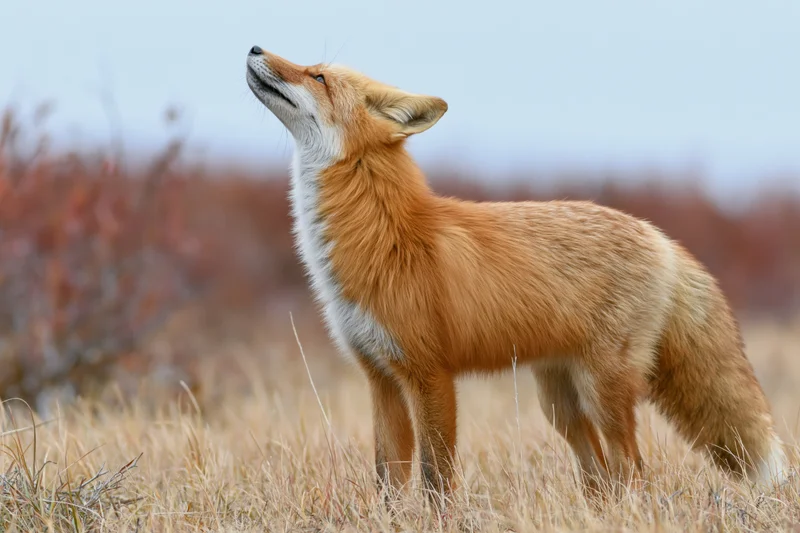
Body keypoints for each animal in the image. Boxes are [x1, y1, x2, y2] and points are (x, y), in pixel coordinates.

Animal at [244, 45, 789, 505]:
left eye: (317, 76)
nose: (254, 48)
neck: (385, 233)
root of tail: (660, 236)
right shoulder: (380, 377)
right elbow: (388, 479)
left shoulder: (429, 375)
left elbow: (437, 477)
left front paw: (442, 520)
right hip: (561, 403)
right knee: (599, 474)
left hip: (602, 391)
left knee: (631, 468)